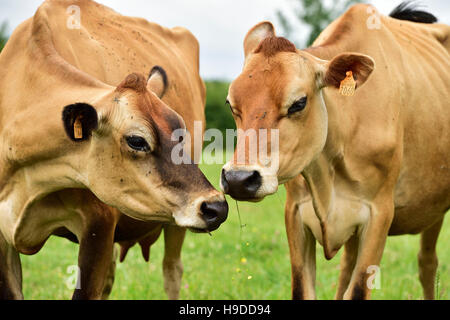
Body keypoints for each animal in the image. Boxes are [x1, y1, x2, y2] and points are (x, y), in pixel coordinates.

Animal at [222, 2, 450, 298]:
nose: (238, 179)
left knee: (427, 263)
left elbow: (357, 289)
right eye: (231, 104)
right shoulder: (295, 212)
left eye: (299, 103)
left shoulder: (379, 214)